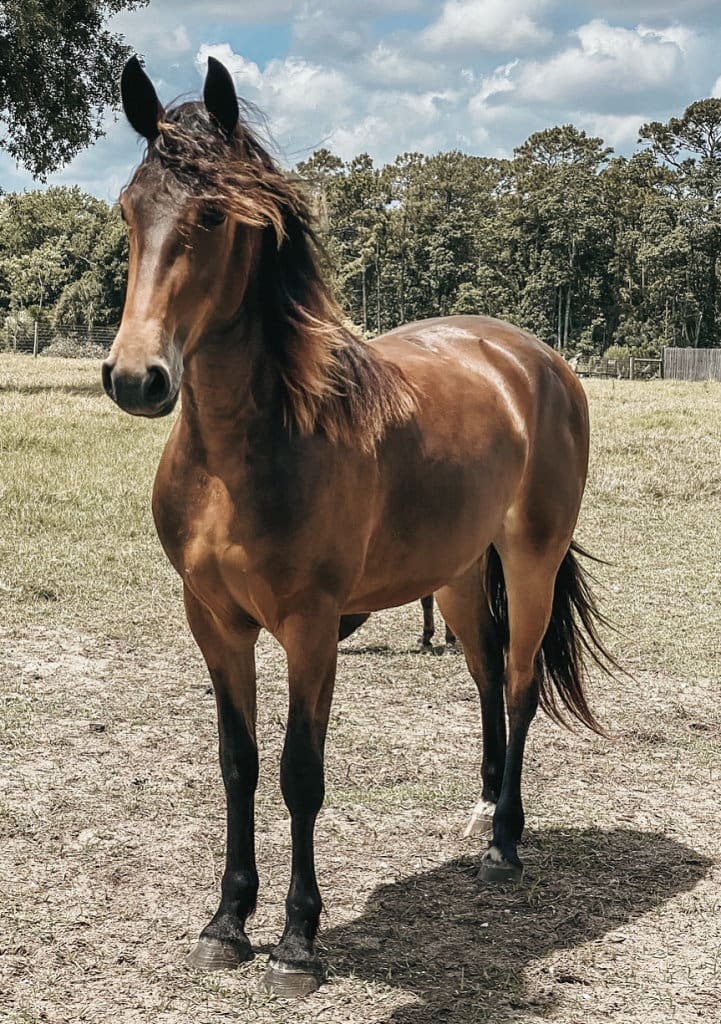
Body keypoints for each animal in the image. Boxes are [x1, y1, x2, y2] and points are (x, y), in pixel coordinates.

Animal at [105, 54, 614, 991]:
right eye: (128, 208)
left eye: (211, 214)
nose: (135, 378)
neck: (245, 453)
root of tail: (533, 358)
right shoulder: (213, 620)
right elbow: (237, 765)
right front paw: (226, 922)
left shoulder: (311, 625)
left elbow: (299, 772)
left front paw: (297, 940)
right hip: (458, 575)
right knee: (483, 678)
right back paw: (481, 809)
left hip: (529, 559)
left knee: (519, 684)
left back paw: (504, 846)